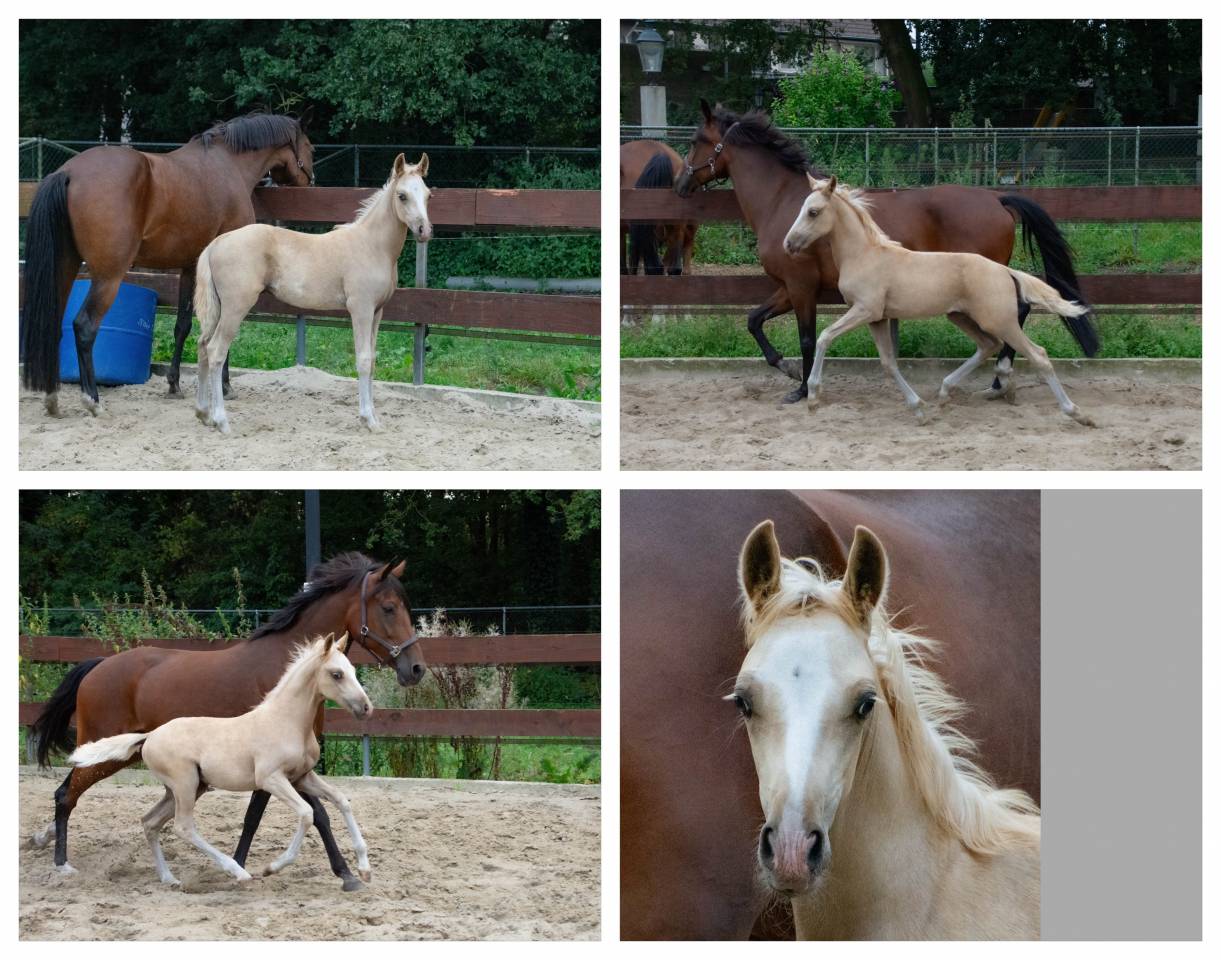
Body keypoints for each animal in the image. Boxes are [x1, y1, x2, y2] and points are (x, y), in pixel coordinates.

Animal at [20, 112, 315, 416]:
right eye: (311, 148)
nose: (311, 179)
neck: (228, 164)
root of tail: (69, 172)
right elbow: (220, 329)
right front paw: (225, 386)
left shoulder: (189, 267)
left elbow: (182, 326)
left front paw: (174, 384)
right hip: (107, 276)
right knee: (84, 327)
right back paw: (92, 400)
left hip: (65, 267)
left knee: (54, 324)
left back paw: (52, 398)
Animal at [69, 632, 374, 887]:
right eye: (336, 674)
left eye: (353, 670)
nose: (366, 707)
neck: (286, 721)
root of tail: (150, 735)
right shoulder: (271, 779)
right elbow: (307, 813)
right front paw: (272, 867)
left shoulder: (302, 777)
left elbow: (341, 800)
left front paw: (364, 868)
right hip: (185, 784)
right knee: (183, 826)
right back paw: (237, 871)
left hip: (188, 788)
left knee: (150, 822)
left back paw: (169, 878)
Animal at [193, 153, 431, 434]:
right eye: (402, 195)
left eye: (427, 195)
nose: (424, 231)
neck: (371, 245)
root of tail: (217, 243)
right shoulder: (360, 309)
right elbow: (363, 360)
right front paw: (368, 420)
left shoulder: (377, 312)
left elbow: (372, 361)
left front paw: (373, 418)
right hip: (235, 308)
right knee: (216, 351)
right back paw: (221, 421)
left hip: (219, 309)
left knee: (203, 346)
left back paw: (203, 414)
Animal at [785, 175, 1096, 427]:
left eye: (813, 212)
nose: (788, 244)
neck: (865, 255)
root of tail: (1005, 271)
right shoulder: (878, 318)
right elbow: (888, 363)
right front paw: (919, 409)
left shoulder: (864, 310)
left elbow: (824, 336)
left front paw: (813, 397)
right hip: (961, 316)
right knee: (988, 346)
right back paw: (946, 392)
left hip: (1000, 321)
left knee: (1038, 355)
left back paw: (1078, 413)